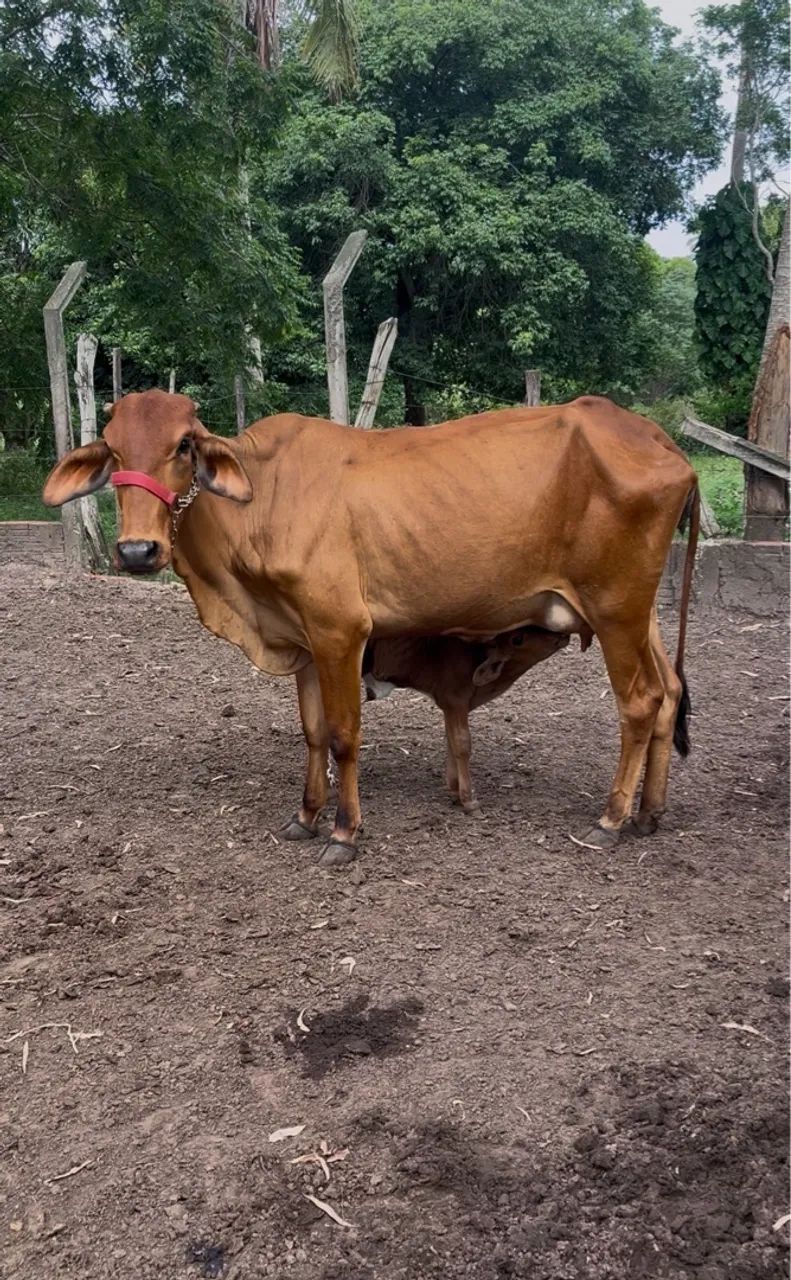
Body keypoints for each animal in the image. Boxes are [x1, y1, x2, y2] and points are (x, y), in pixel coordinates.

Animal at [361, 627, 574, 814]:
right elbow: (462, 743)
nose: (561, 635)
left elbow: (450, 741)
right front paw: (469, 800)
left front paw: (455, 790)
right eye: (517, 638)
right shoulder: (455, 701)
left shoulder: (449, 706)